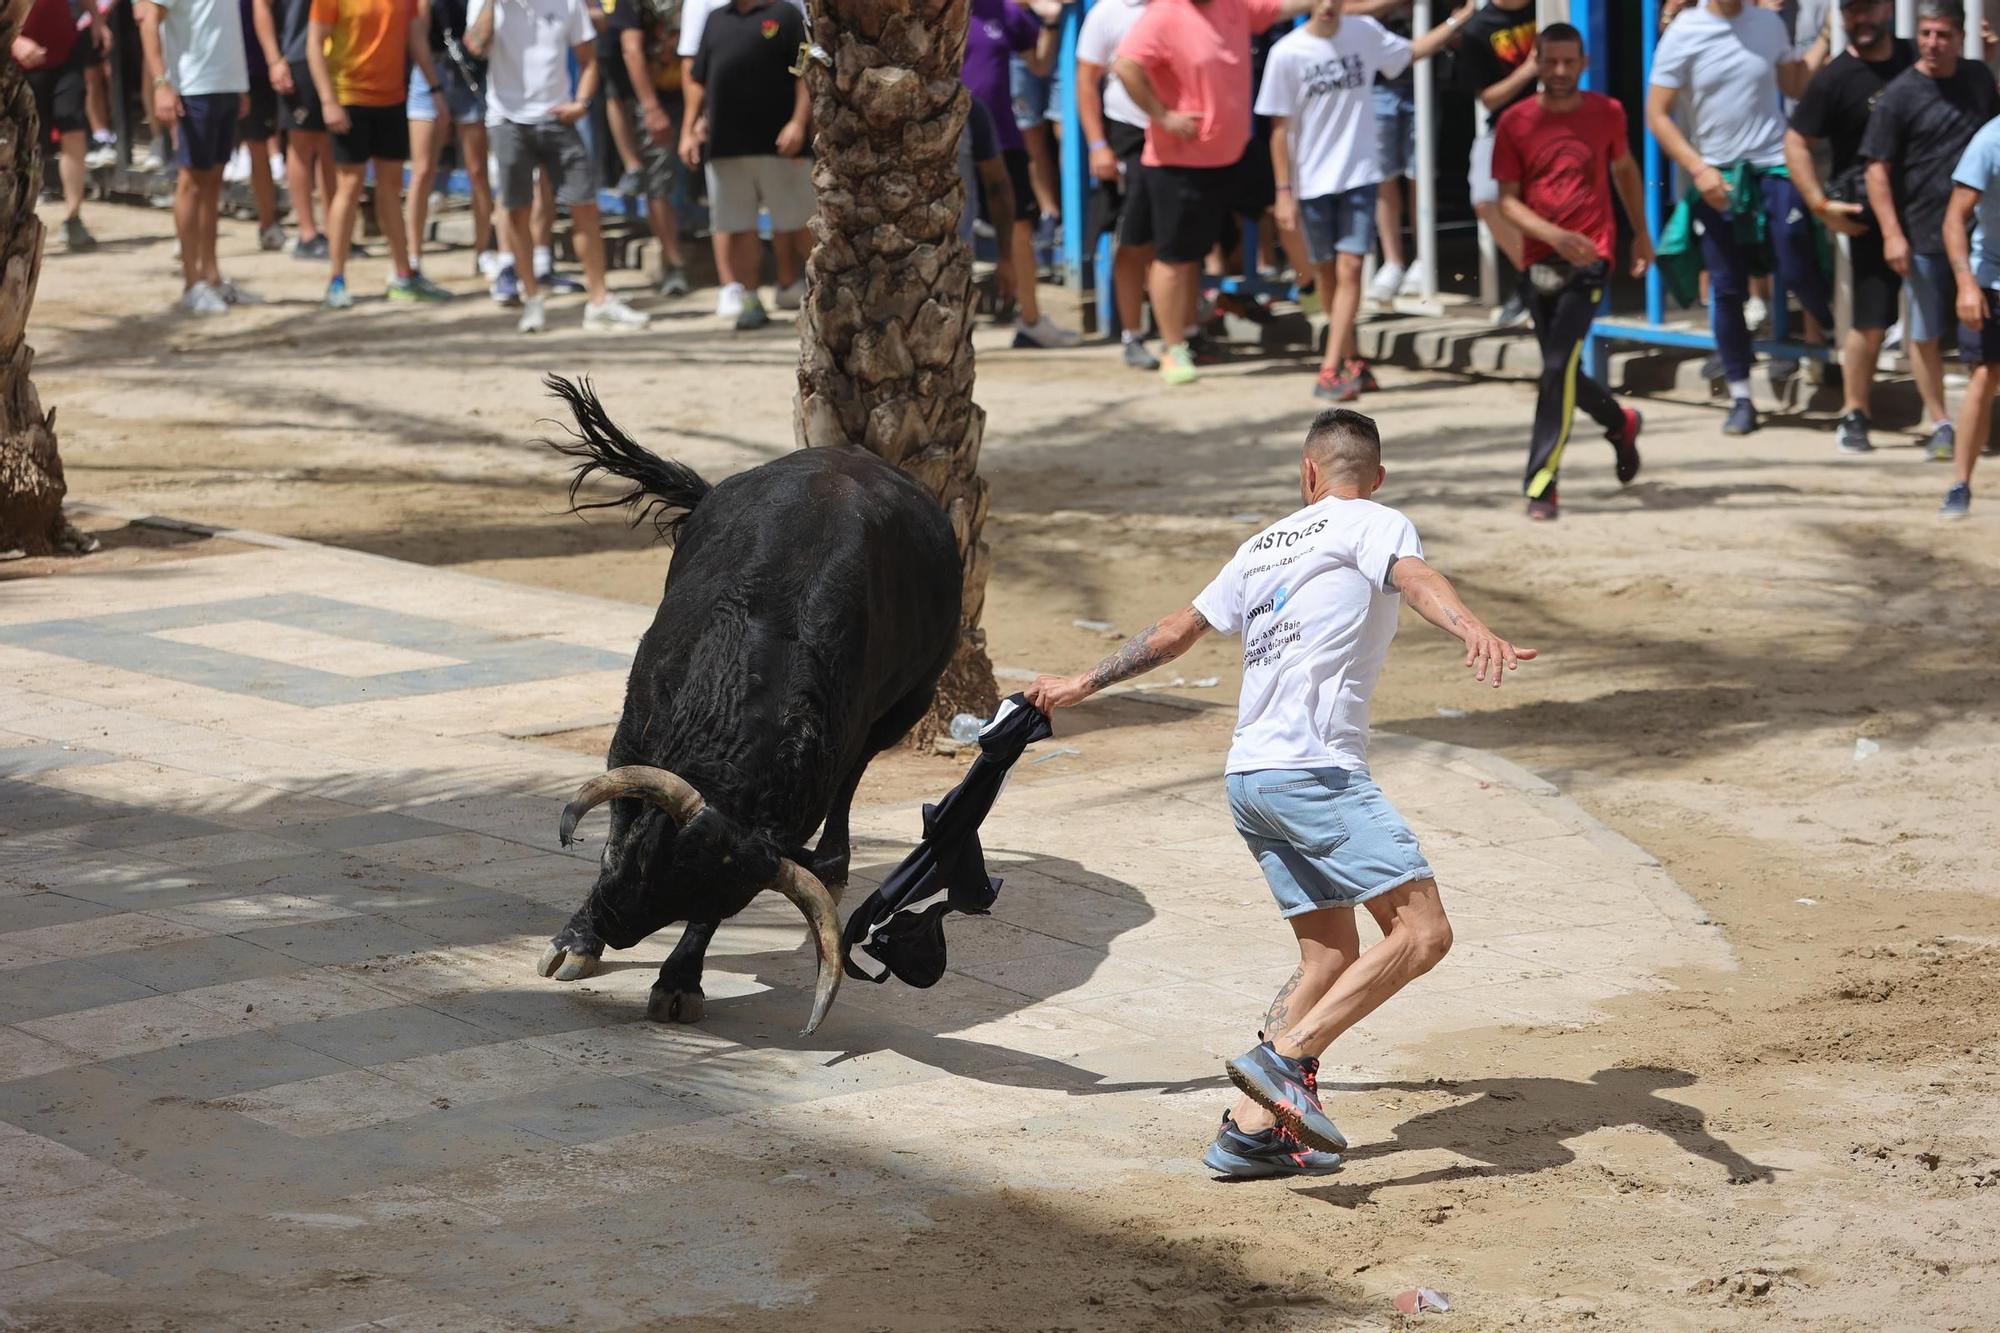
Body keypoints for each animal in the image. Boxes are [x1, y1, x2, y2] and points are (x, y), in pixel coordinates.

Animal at [536, 378, 964, 1032]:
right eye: (651, 858)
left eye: (715, 895)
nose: (612, 922)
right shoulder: (632, 736)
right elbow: (616, 829)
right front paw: (575, 942)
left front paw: (679, 981)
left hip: (903, 712)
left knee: (853, 786)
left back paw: (834, 865)